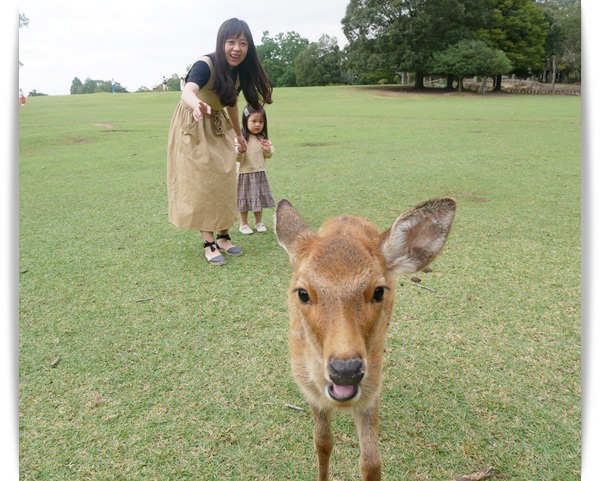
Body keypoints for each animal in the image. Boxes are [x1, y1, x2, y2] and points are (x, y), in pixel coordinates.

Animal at [274, 197, 458, 478]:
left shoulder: (372, 390)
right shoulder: (309, 390)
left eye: (379, 291)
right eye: (302, 293)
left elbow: (372, 462)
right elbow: (322, 442)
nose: (345, 370)